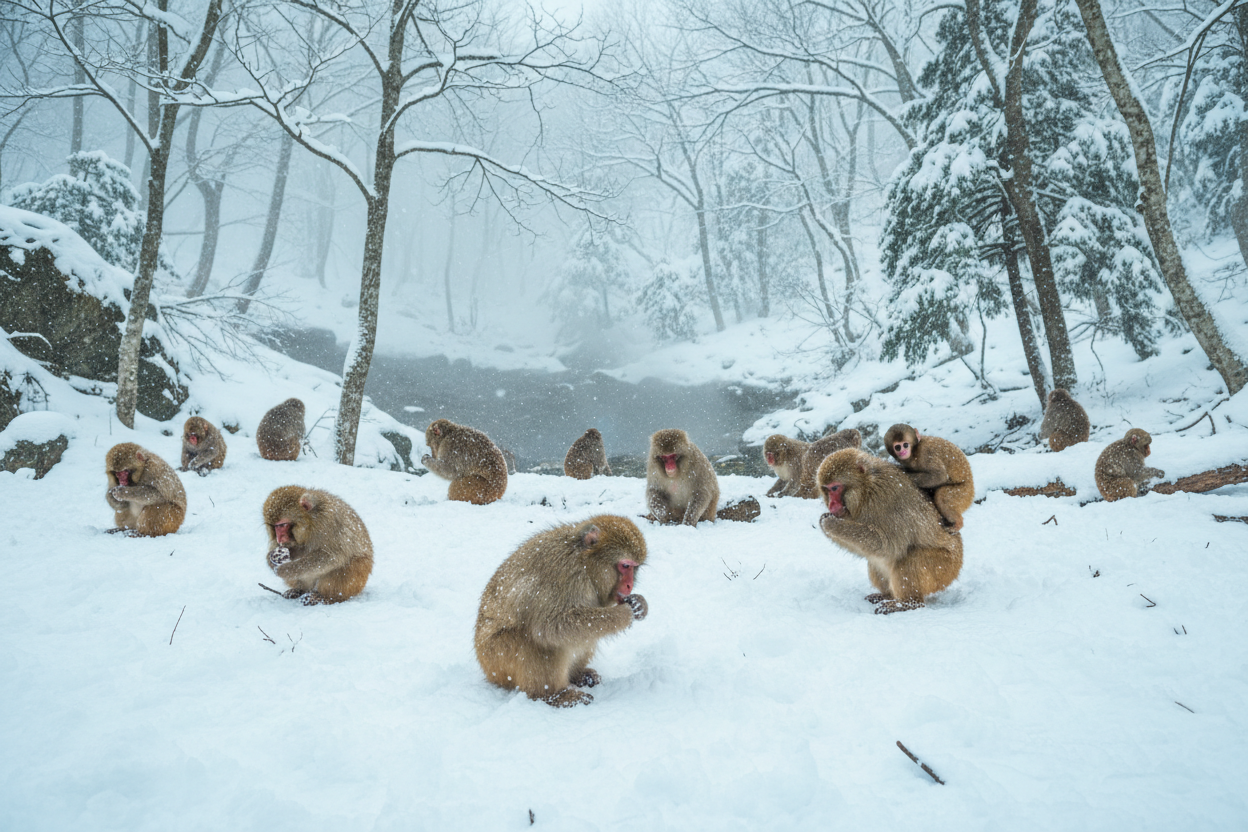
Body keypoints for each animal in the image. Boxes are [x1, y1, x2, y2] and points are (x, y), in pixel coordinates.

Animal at [474, 515, 648, 707]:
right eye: (625, 566)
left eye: (635, 567)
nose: (629, 585)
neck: (585, 563)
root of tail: (486, 668)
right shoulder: (565, 574)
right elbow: (550, 626)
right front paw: (625, 613)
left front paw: (640, 604)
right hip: (497, 657)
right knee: (536, 640)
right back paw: (554, 695)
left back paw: (578, 675)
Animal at [816, 448, 963, 614]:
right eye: (826, 490)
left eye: (835, 488)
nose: (832, 505)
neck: (865, 489)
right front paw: (825, 521)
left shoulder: (884, 498)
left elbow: (889, 545)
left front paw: (830, 523)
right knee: (874, 560)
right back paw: (887, 596)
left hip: (945, 568)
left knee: (910, 556)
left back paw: (907, 603)